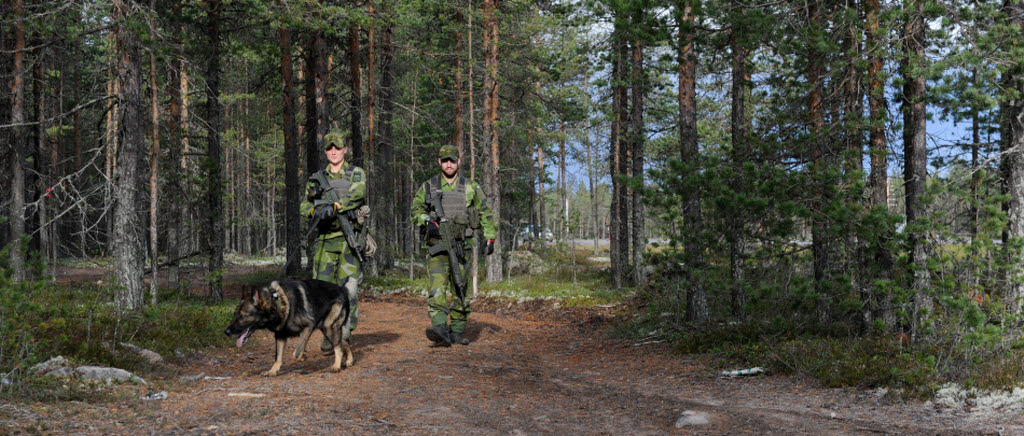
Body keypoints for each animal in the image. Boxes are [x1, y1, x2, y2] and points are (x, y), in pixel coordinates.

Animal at [222, 280, 354, 376]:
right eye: (234, 315)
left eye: (242, 316)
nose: (226, 332)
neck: (277, 302)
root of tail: (342, 289)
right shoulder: (280, 336)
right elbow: (278, 357)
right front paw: (272, 371)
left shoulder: (308, 327)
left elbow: (296, 353)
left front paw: (302, 357)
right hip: (326, 328)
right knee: (344, 342)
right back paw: (349, 360)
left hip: (328, 327)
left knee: (339, 348)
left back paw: (337, 366)